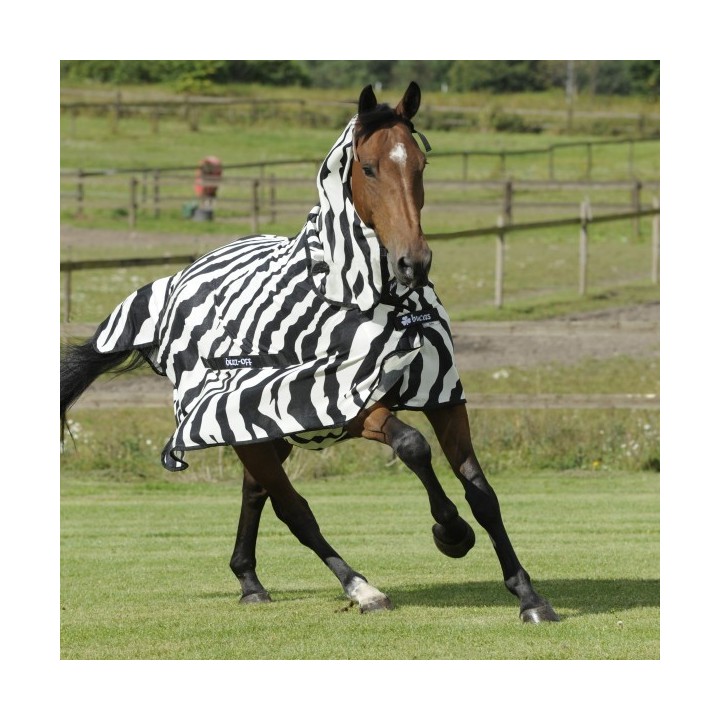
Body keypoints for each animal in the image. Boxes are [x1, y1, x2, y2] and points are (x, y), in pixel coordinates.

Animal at [60, 82, 559, 623]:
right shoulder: (347, 399)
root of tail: (176, 284)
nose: (414, 262)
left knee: (257, 492)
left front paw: (529, 596)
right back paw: (361, 588)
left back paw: (249, 580)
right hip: (246, 419)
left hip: (265, 429)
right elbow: (412, 446)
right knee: (292, 508)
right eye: (368, 168)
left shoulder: (444, 398)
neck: (375, 300)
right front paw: (450, 531)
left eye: (421, 164)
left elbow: (482, 493)